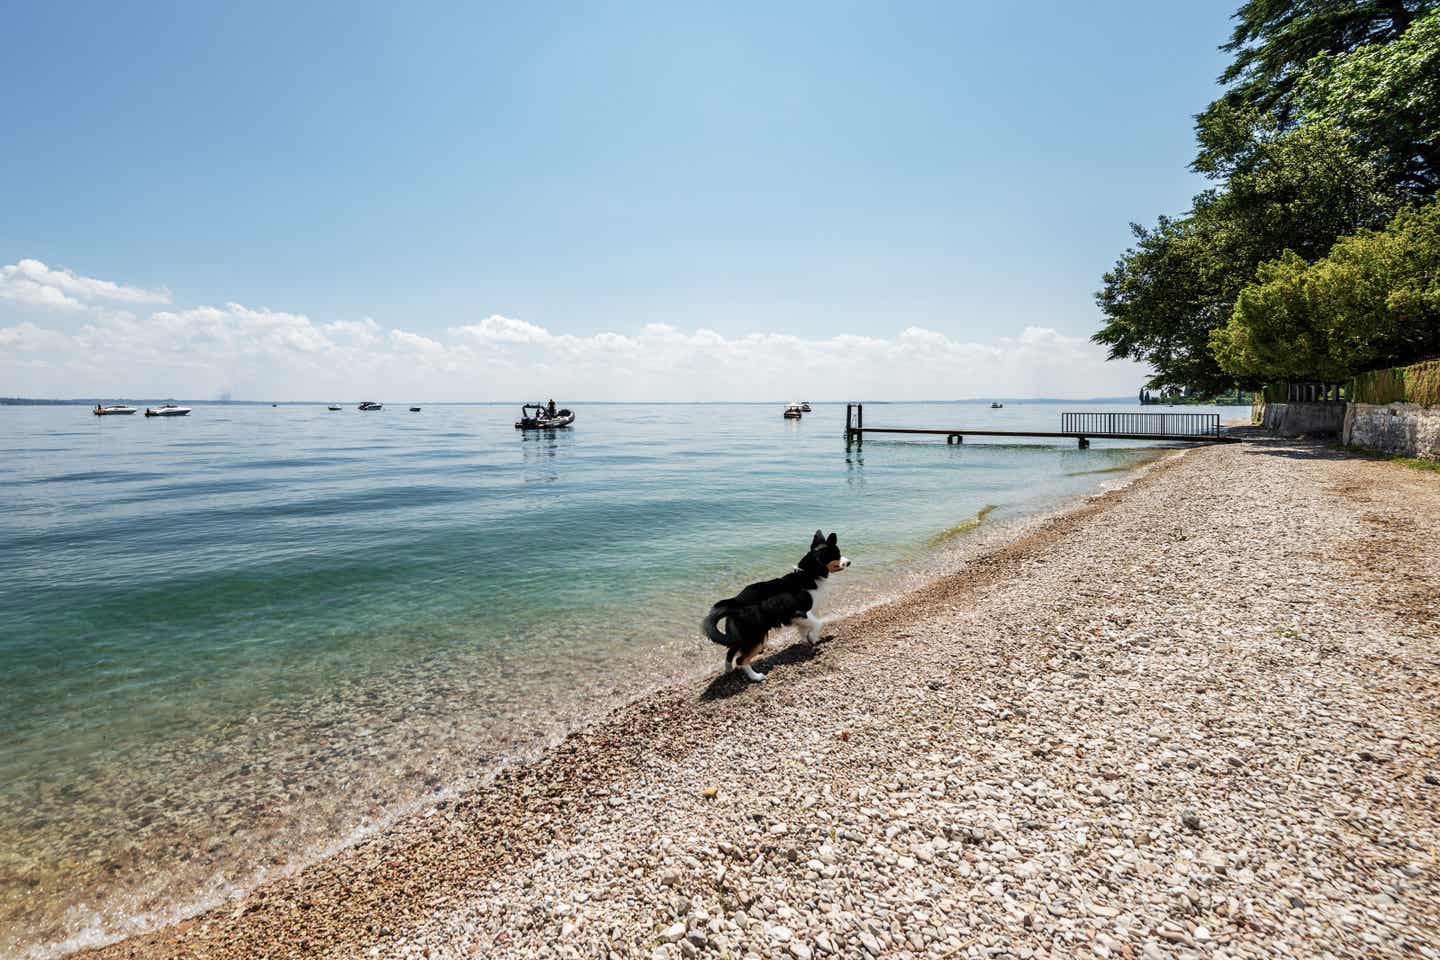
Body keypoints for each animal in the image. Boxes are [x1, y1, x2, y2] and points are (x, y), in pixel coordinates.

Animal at [702, 532, 846, 682]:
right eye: (837, 555)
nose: (849, 562)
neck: (808, 574)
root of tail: (735, 602)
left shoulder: (799, 618)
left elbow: (804, 631)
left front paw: (808, 641)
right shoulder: (800, 612)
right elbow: (818, 623)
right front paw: (813, 637)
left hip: (743, 635)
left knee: (731, 652)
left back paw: (728, 670)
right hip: (757, 637)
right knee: (741, 659)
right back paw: (756, 677)